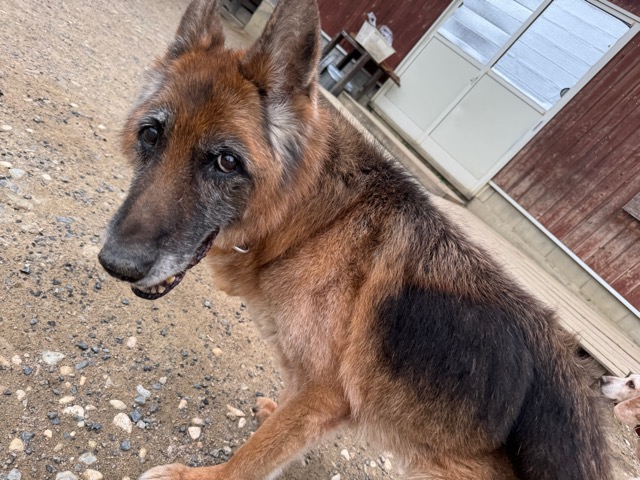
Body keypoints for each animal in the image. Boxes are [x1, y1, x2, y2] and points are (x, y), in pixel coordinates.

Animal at [98, 0, 612, 478]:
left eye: (226, 162)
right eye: (150, 134)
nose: (115, 263)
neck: (315, 220)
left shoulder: (325, 393)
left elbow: (254, 456)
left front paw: (205, 475)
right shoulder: (309, 388)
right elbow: (279, 433)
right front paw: (273, 419)